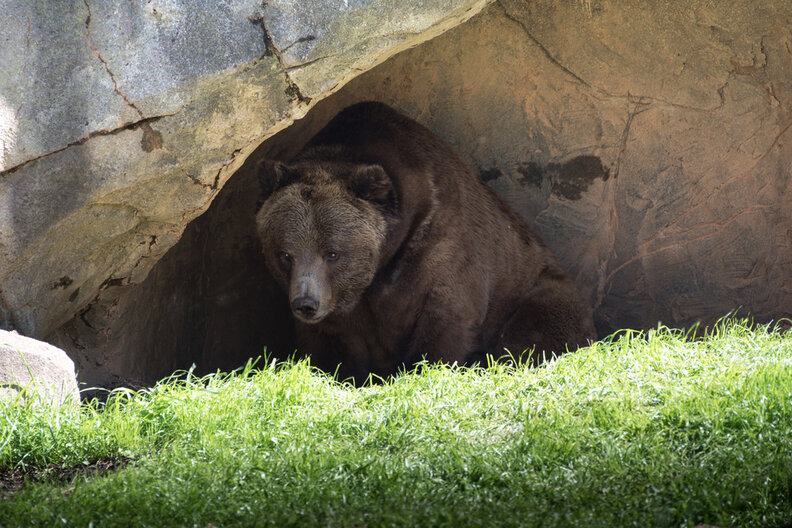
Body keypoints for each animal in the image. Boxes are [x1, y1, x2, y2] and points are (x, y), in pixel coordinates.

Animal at [255, 102, 596, 381]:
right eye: (285, 255)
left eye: (333, 253)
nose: (306, 303)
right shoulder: (339, 305)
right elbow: (330, 343)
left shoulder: (438, 243)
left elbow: (446, 317)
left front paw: (426, 367)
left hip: (538, 286)